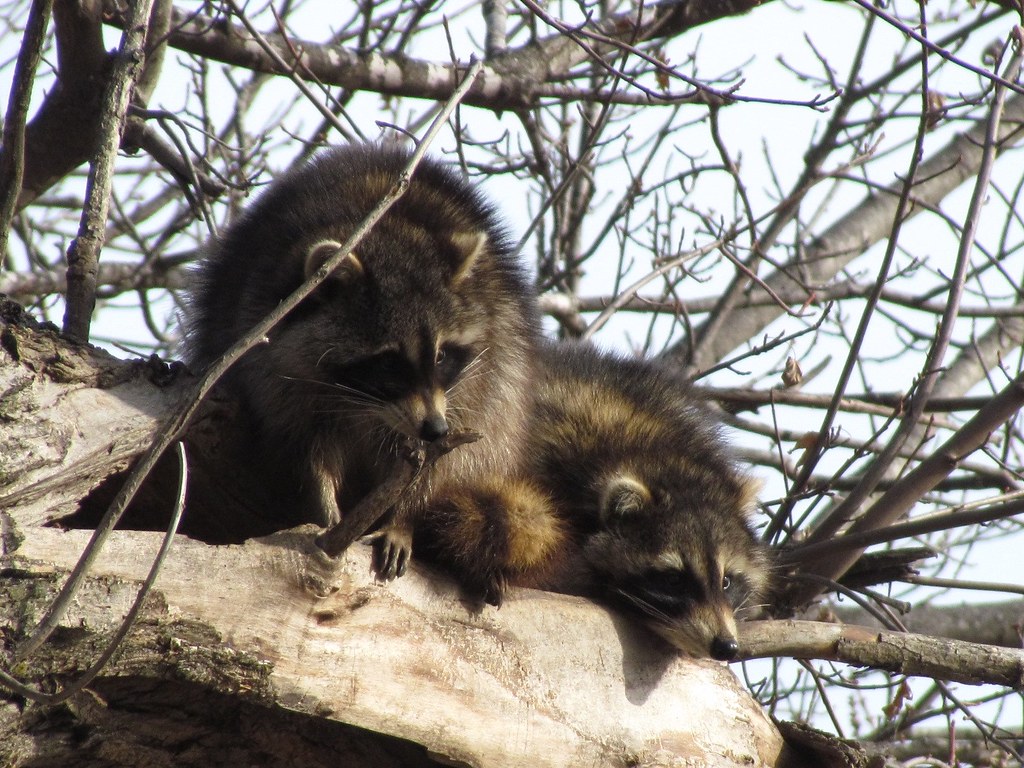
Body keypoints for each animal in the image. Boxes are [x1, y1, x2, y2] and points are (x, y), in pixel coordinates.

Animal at [183, 143, 539, 570]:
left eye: (441, 356)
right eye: (388, 360)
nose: (435, 429)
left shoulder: (475, 378)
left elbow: (447, 459)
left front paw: (404, 517)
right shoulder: (272, 365)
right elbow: (306, 446)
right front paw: (324, 508)